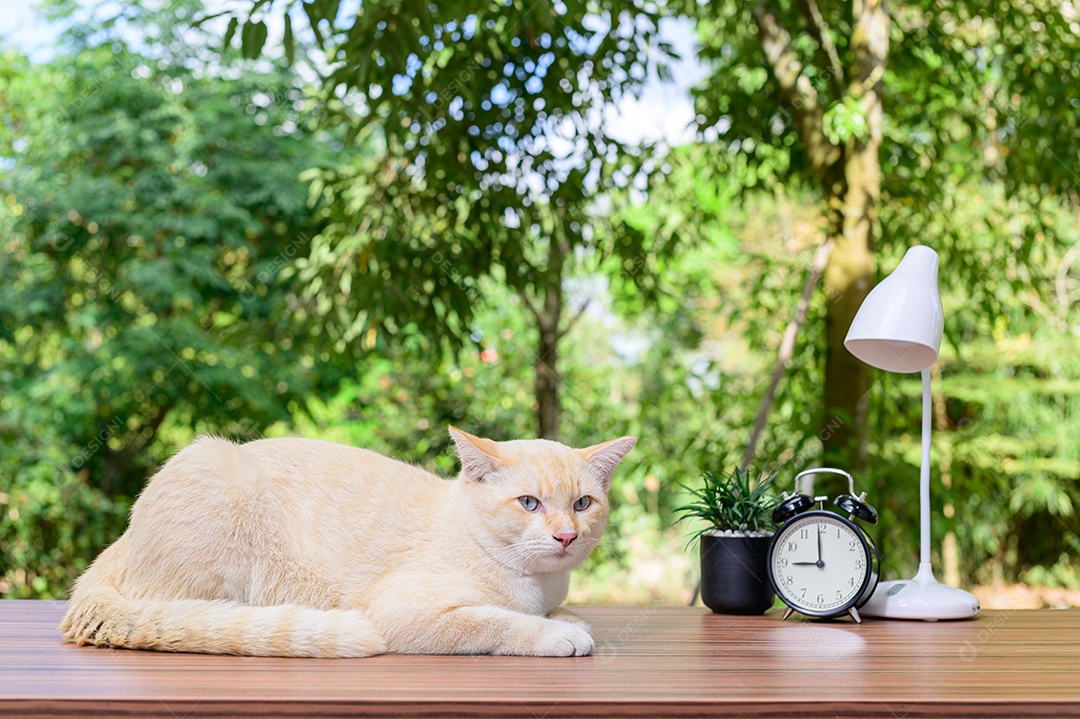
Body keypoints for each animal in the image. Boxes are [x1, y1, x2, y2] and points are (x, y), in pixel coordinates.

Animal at [59, 425, 630, 656]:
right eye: (529, 503)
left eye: (583, 504)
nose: (565, 535)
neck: (538, 585)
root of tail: (120, 543)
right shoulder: (406, 614)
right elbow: (498, 622)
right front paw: (559, 633)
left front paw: (566, 617)